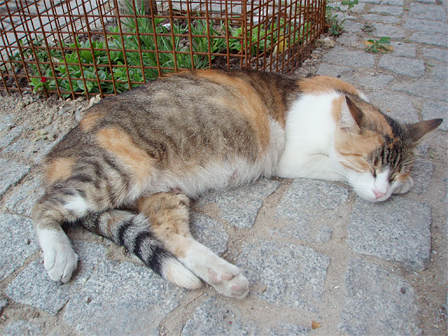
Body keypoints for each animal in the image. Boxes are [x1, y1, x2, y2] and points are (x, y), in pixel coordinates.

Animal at [30, 69, 440, 300]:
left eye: (391, 171)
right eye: (369, 165)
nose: (383, 191)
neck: (336, 105)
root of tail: (56, 153)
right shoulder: (291, 159)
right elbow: (336, 168)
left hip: (163, 192)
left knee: (169, 235)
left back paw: (222, 277)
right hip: (114, 172)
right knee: (41, 206)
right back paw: (59, 254)